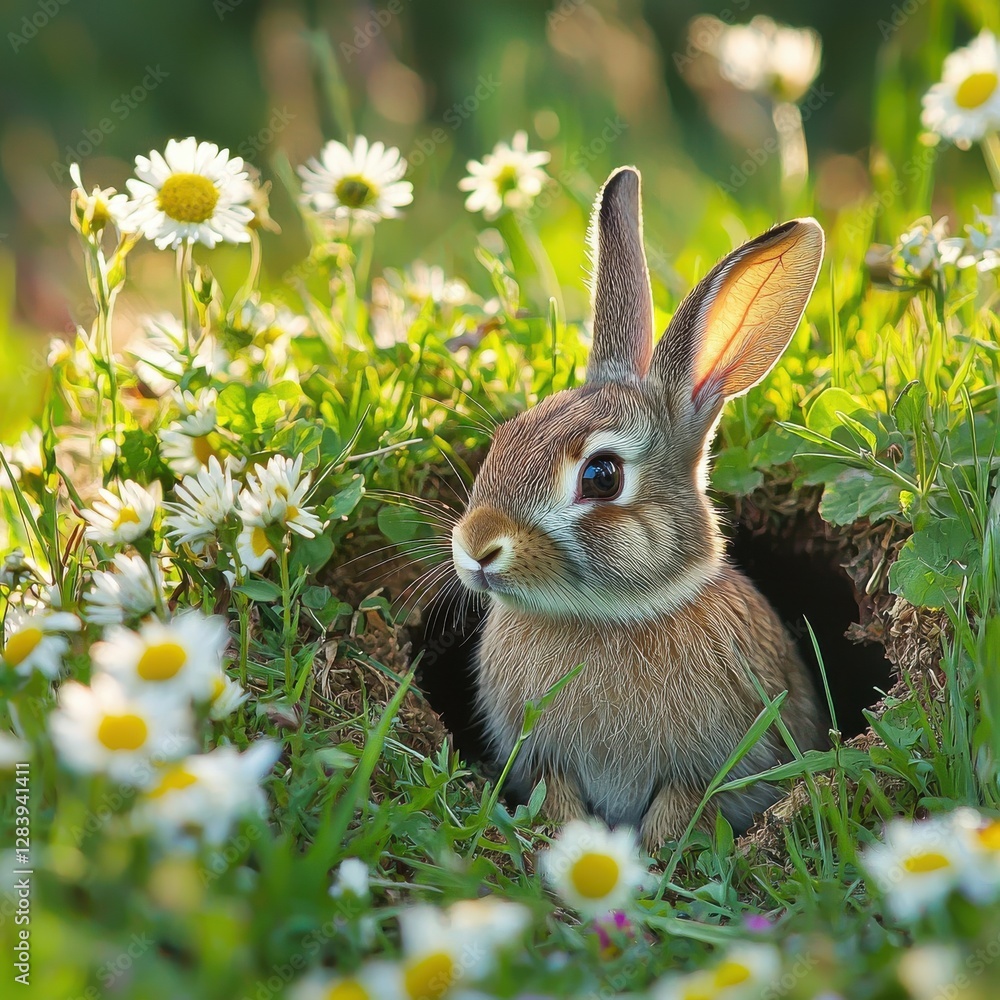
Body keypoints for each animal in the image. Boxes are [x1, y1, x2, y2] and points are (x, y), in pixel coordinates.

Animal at [449, 166, 827, 850]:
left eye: (601, 477)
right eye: (507, 436)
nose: (476, 546)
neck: (608, 618)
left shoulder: (706, 771)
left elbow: (679, 811)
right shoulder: (545, 762)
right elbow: (557, 798)